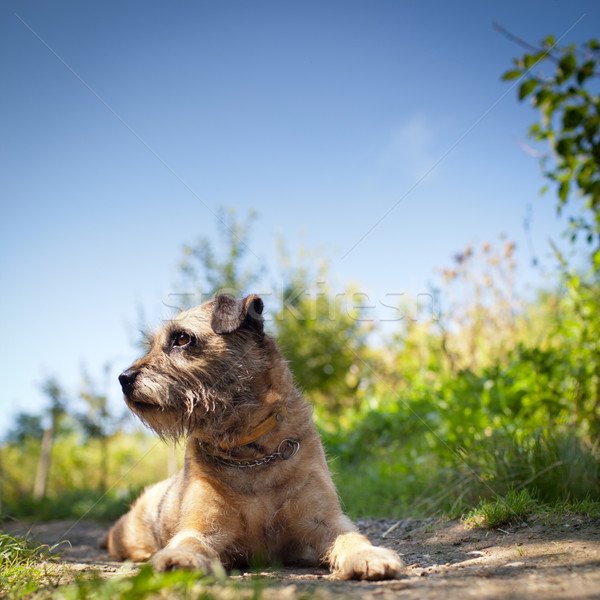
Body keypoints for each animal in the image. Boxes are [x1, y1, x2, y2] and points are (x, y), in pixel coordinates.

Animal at [108, 292, 404, 580]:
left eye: (182, 338)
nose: (124, 378)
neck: (250, 450)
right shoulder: (204, 526)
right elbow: (189, 541)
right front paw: (178, 558)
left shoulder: (324, 520)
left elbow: (351, 537)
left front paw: (368, 555)